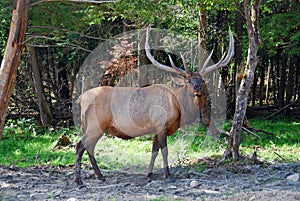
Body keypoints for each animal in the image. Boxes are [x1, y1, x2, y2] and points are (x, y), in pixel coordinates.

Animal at [74, 27, 233, 185]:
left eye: (202, 80)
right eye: (188, 81)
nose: (197, 87)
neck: (178, 106)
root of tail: (82, 99)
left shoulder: (156, 128)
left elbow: (154, 151)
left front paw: (149, 174)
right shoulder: (161, 124)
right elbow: (165, 151)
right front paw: (167, 175)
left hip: (98, 126)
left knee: (89, 147)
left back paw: (100, 175)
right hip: (96, 124)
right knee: (80, 145)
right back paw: (79, 179)